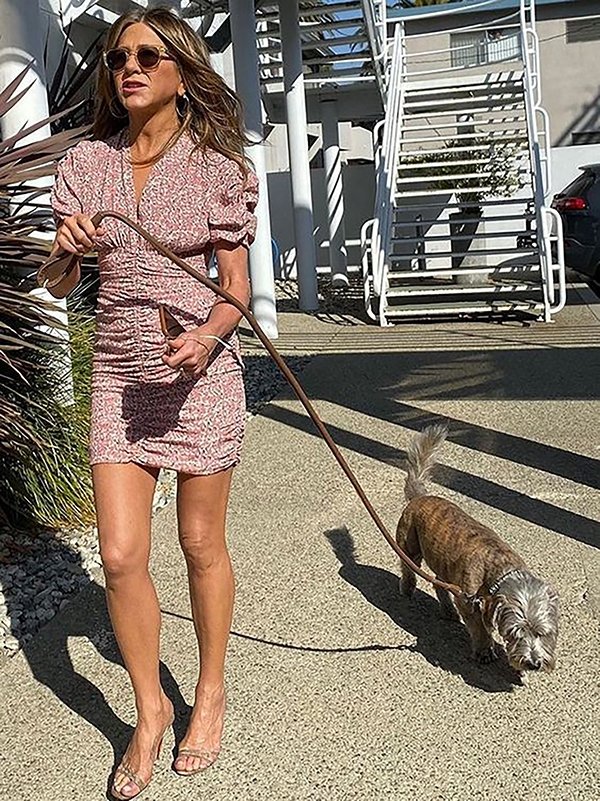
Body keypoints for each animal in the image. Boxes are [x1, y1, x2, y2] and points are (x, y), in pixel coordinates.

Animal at [396, 425, 559, 674]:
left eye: (542, 633)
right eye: (515, 632)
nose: (533, 663)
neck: (499, 566)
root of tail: (420, 496)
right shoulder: (468, 602)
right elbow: (479, 629)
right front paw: (484, 650)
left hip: (444, 567)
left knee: (438, 582)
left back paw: (448, 611)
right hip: (409, 543)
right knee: (408, 566)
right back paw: (407, 588)